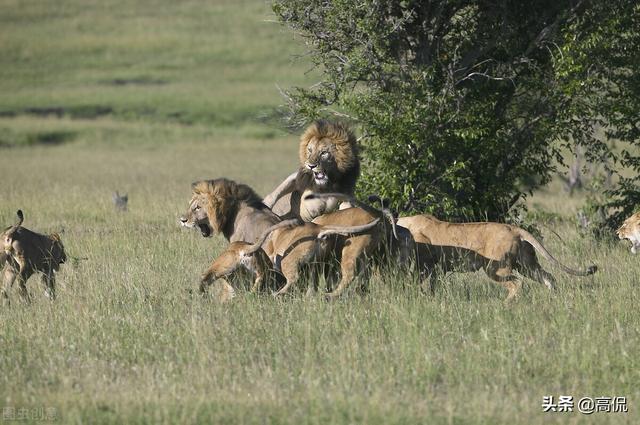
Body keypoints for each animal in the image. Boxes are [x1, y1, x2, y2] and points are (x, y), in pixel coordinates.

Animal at [398, 214, 596, 300]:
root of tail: (514, 229)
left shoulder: (425, 266)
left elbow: (416, 281)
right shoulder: (437, 269)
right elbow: (432, 286)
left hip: (494, 268)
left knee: (517, 283)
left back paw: (505, 305)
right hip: (527, 265)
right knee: (549, 277)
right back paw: (553, 300)